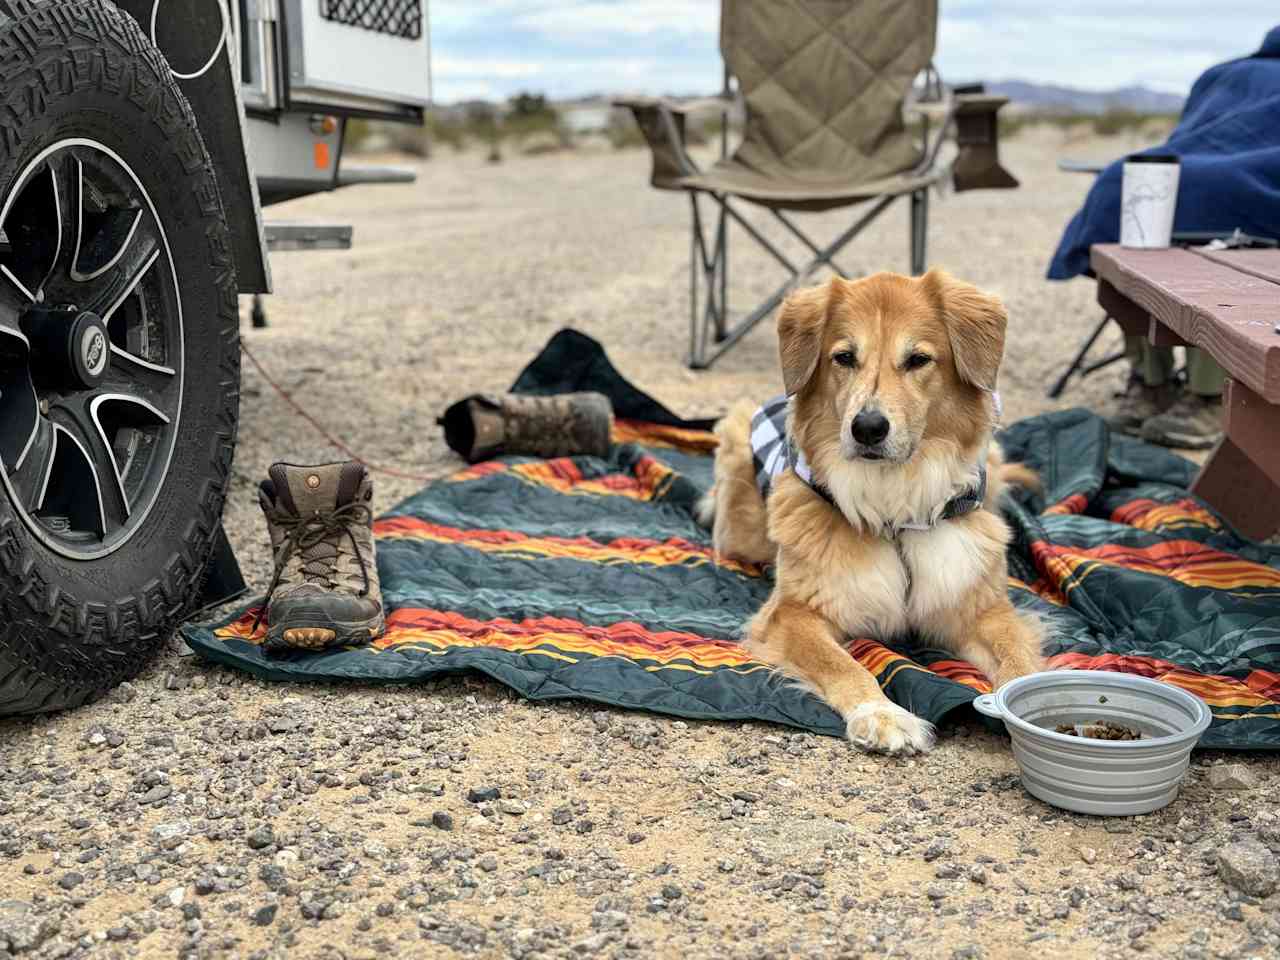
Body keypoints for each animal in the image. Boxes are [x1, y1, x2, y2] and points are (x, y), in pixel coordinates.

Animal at [706, 271, 1044, 757]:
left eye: (918, 359)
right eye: (845, 357)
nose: (867, 428)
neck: (895, 507)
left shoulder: (981, 608)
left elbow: (1018, 657)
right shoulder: (794, 612)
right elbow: (842, 664)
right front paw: (882, 715)